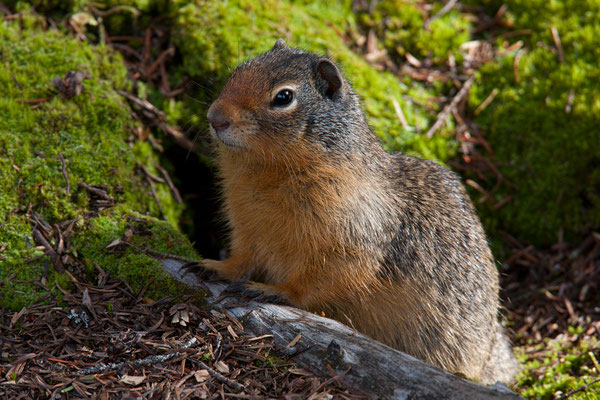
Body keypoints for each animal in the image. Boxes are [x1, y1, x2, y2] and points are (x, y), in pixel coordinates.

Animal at [199, 38, 516, 384]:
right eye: (238, 70)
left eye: (283, 97)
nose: (215, 117)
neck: (267, 173)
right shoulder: (247, 227)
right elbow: (242, 259)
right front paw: (213, 267)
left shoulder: (346, 243)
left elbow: (315, 283)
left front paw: (271, 291)